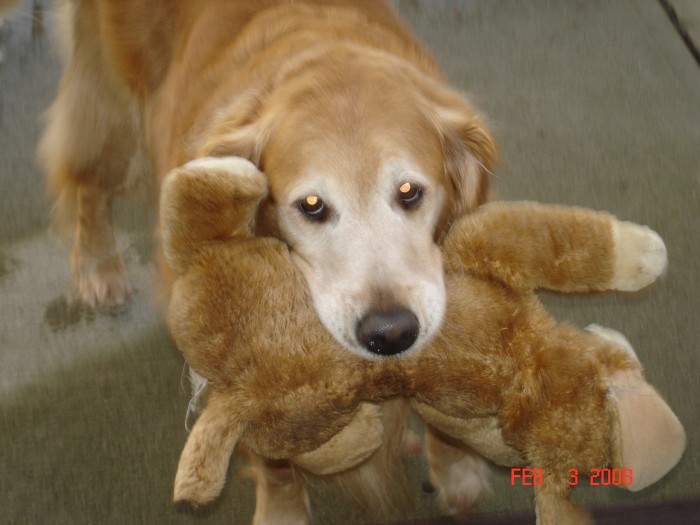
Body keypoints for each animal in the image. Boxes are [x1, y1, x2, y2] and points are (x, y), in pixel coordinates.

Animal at [38, 0, 498, 520]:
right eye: (312, 205)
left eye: (409, 192)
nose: (390, 334)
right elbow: (275, 459)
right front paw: (283, 512)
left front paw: (456, 468)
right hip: (115, 101)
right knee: (88, 177)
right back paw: (99, 265)